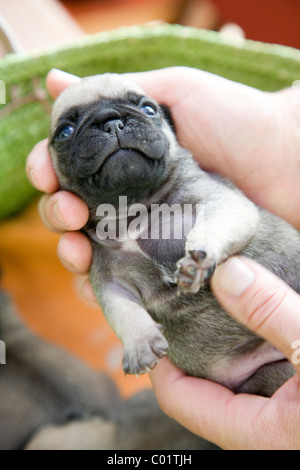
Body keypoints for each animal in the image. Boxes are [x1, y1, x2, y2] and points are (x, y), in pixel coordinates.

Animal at [48, 73, 298, 396]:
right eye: (64, 132)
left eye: (149, 109)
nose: (111, 121)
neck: (132, 209)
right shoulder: (108, 279)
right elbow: (121, 309)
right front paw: (139, 344)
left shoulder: (219, 201)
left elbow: (214, 223)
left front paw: (199, 259)